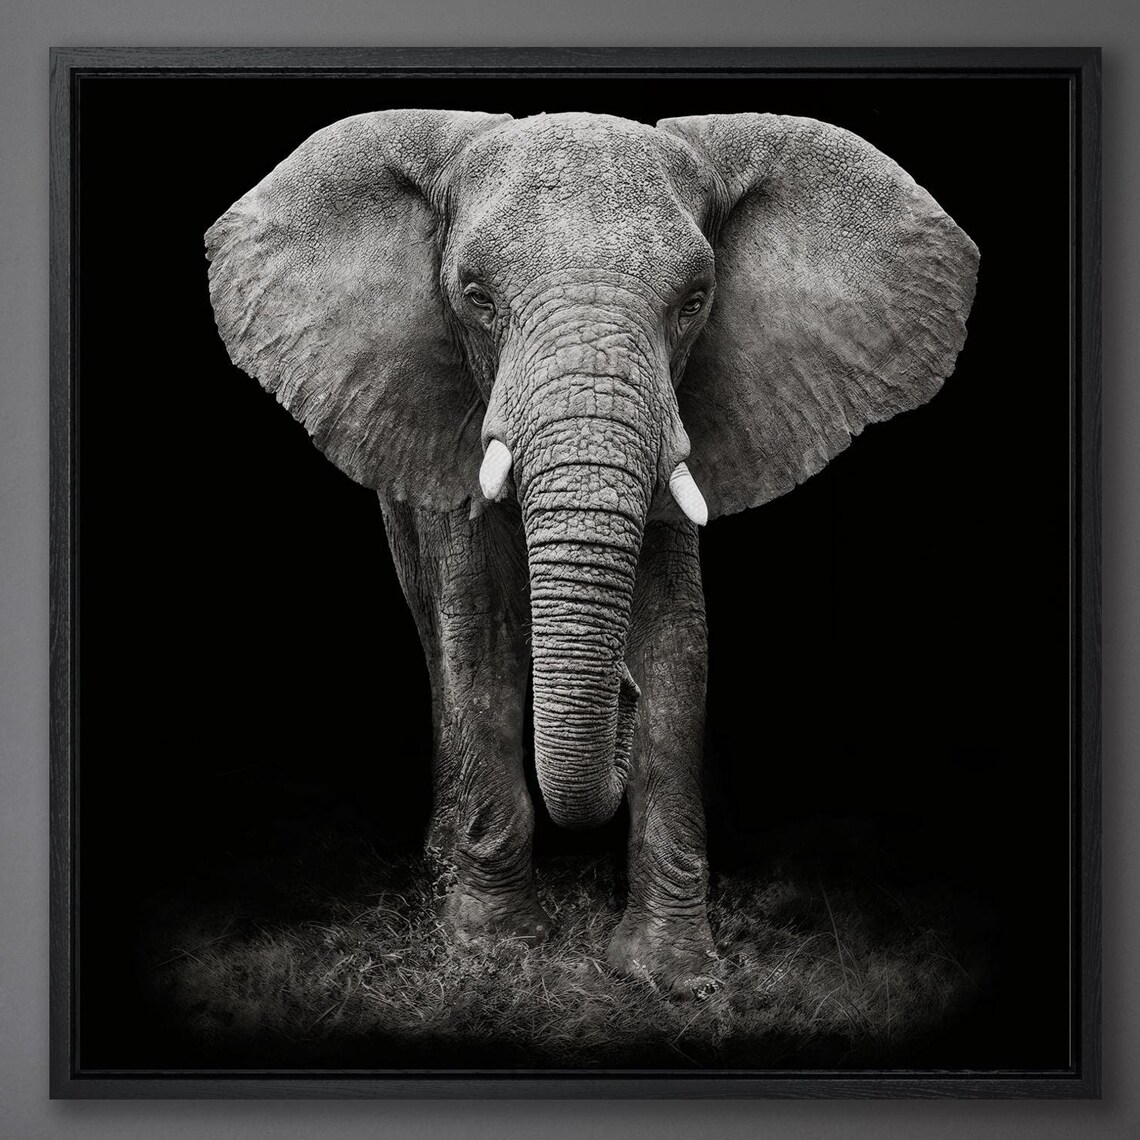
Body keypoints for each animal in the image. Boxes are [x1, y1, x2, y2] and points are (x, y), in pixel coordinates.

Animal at [205, 109, 978, 998]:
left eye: (694, 302)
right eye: (475, 298)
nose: (621, 692)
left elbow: (679, 642)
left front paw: (669, 973)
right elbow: (482, 639)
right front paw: (493, 952)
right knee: (437, 635)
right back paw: (442, 868)